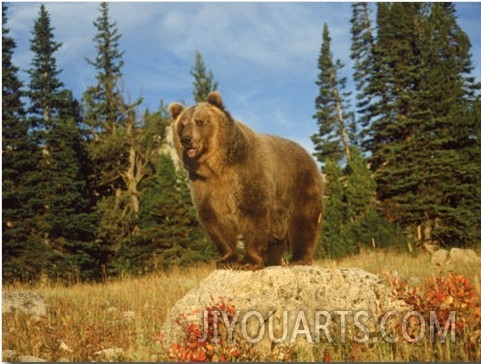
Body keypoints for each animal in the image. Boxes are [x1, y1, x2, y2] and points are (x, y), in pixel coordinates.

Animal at [169, 91, 322, 268]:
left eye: (199, 121)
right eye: (182, 125)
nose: (186, 139)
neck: (217, 166)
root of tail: (307, 153)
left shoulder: (246, 174)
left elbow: (253, 213)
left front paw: (248, 261)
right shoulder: (204, 185)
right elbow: (215, 219)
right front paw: (226, 259)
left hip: (299, 185)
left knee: (303, 220)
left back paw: (299, 259)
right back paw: (272, 261)